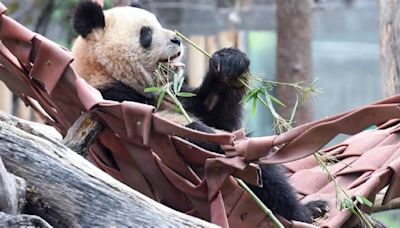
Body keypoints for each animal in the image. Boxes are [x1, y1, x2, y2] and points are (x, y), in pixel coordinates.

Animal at [71, 0, 328, 224]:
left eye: (158, 23)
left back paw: (311, 209)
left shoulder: (176, 95)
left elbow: (217, 115)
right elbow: (175, 133)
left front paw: (230, 62)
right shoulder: (113, 99)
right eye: (146, 34)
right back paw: (302, 213)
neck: (105, 72)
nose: (177, 40)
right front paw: (202, 135)